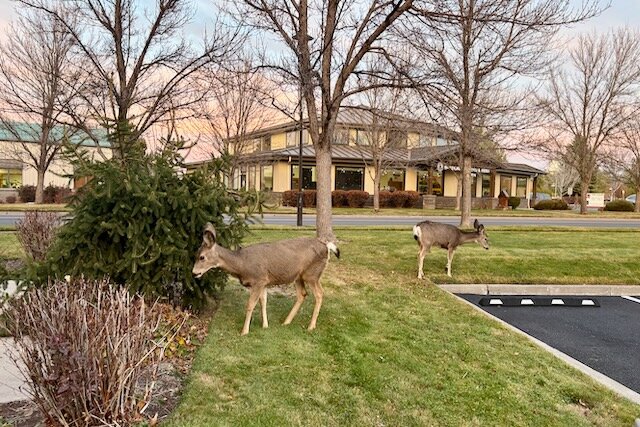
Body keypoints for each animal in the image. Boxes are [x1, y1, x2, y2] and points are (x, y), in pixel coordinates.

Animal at [192, 223, 340, 335]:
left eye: (202, 257)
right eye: (196, 254)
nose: (194, 273)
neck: (241, 264)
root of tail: (327, 247)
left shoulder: (258, 280)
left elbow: (250, 304)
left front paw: (244, 331)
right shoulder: (264, 282)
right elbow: (263, 302)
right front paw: (265, 325)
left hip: (312, 274)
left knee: (319, 293)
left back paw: (311, 326)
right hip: (298, 276)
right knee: (302, 294)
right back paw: (286, 322)